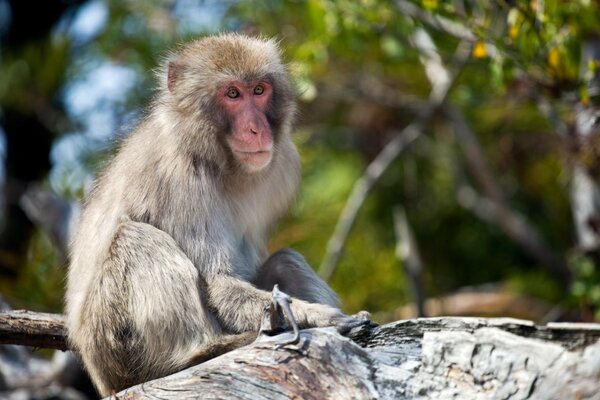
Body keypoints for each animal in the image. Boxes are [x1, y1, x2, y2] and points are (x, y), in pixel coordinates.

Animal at [63, 32, 368, 396]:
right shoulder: (178, 180)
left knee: (285, 260)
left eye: (259, 90)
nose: (256, 129)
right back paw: (199, 353)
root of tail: (101, 378)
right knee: (137, 239)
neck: (214, 156)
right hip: (115, 346)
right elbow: (219, 282)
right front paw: (320, 317)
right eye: (232, 94)